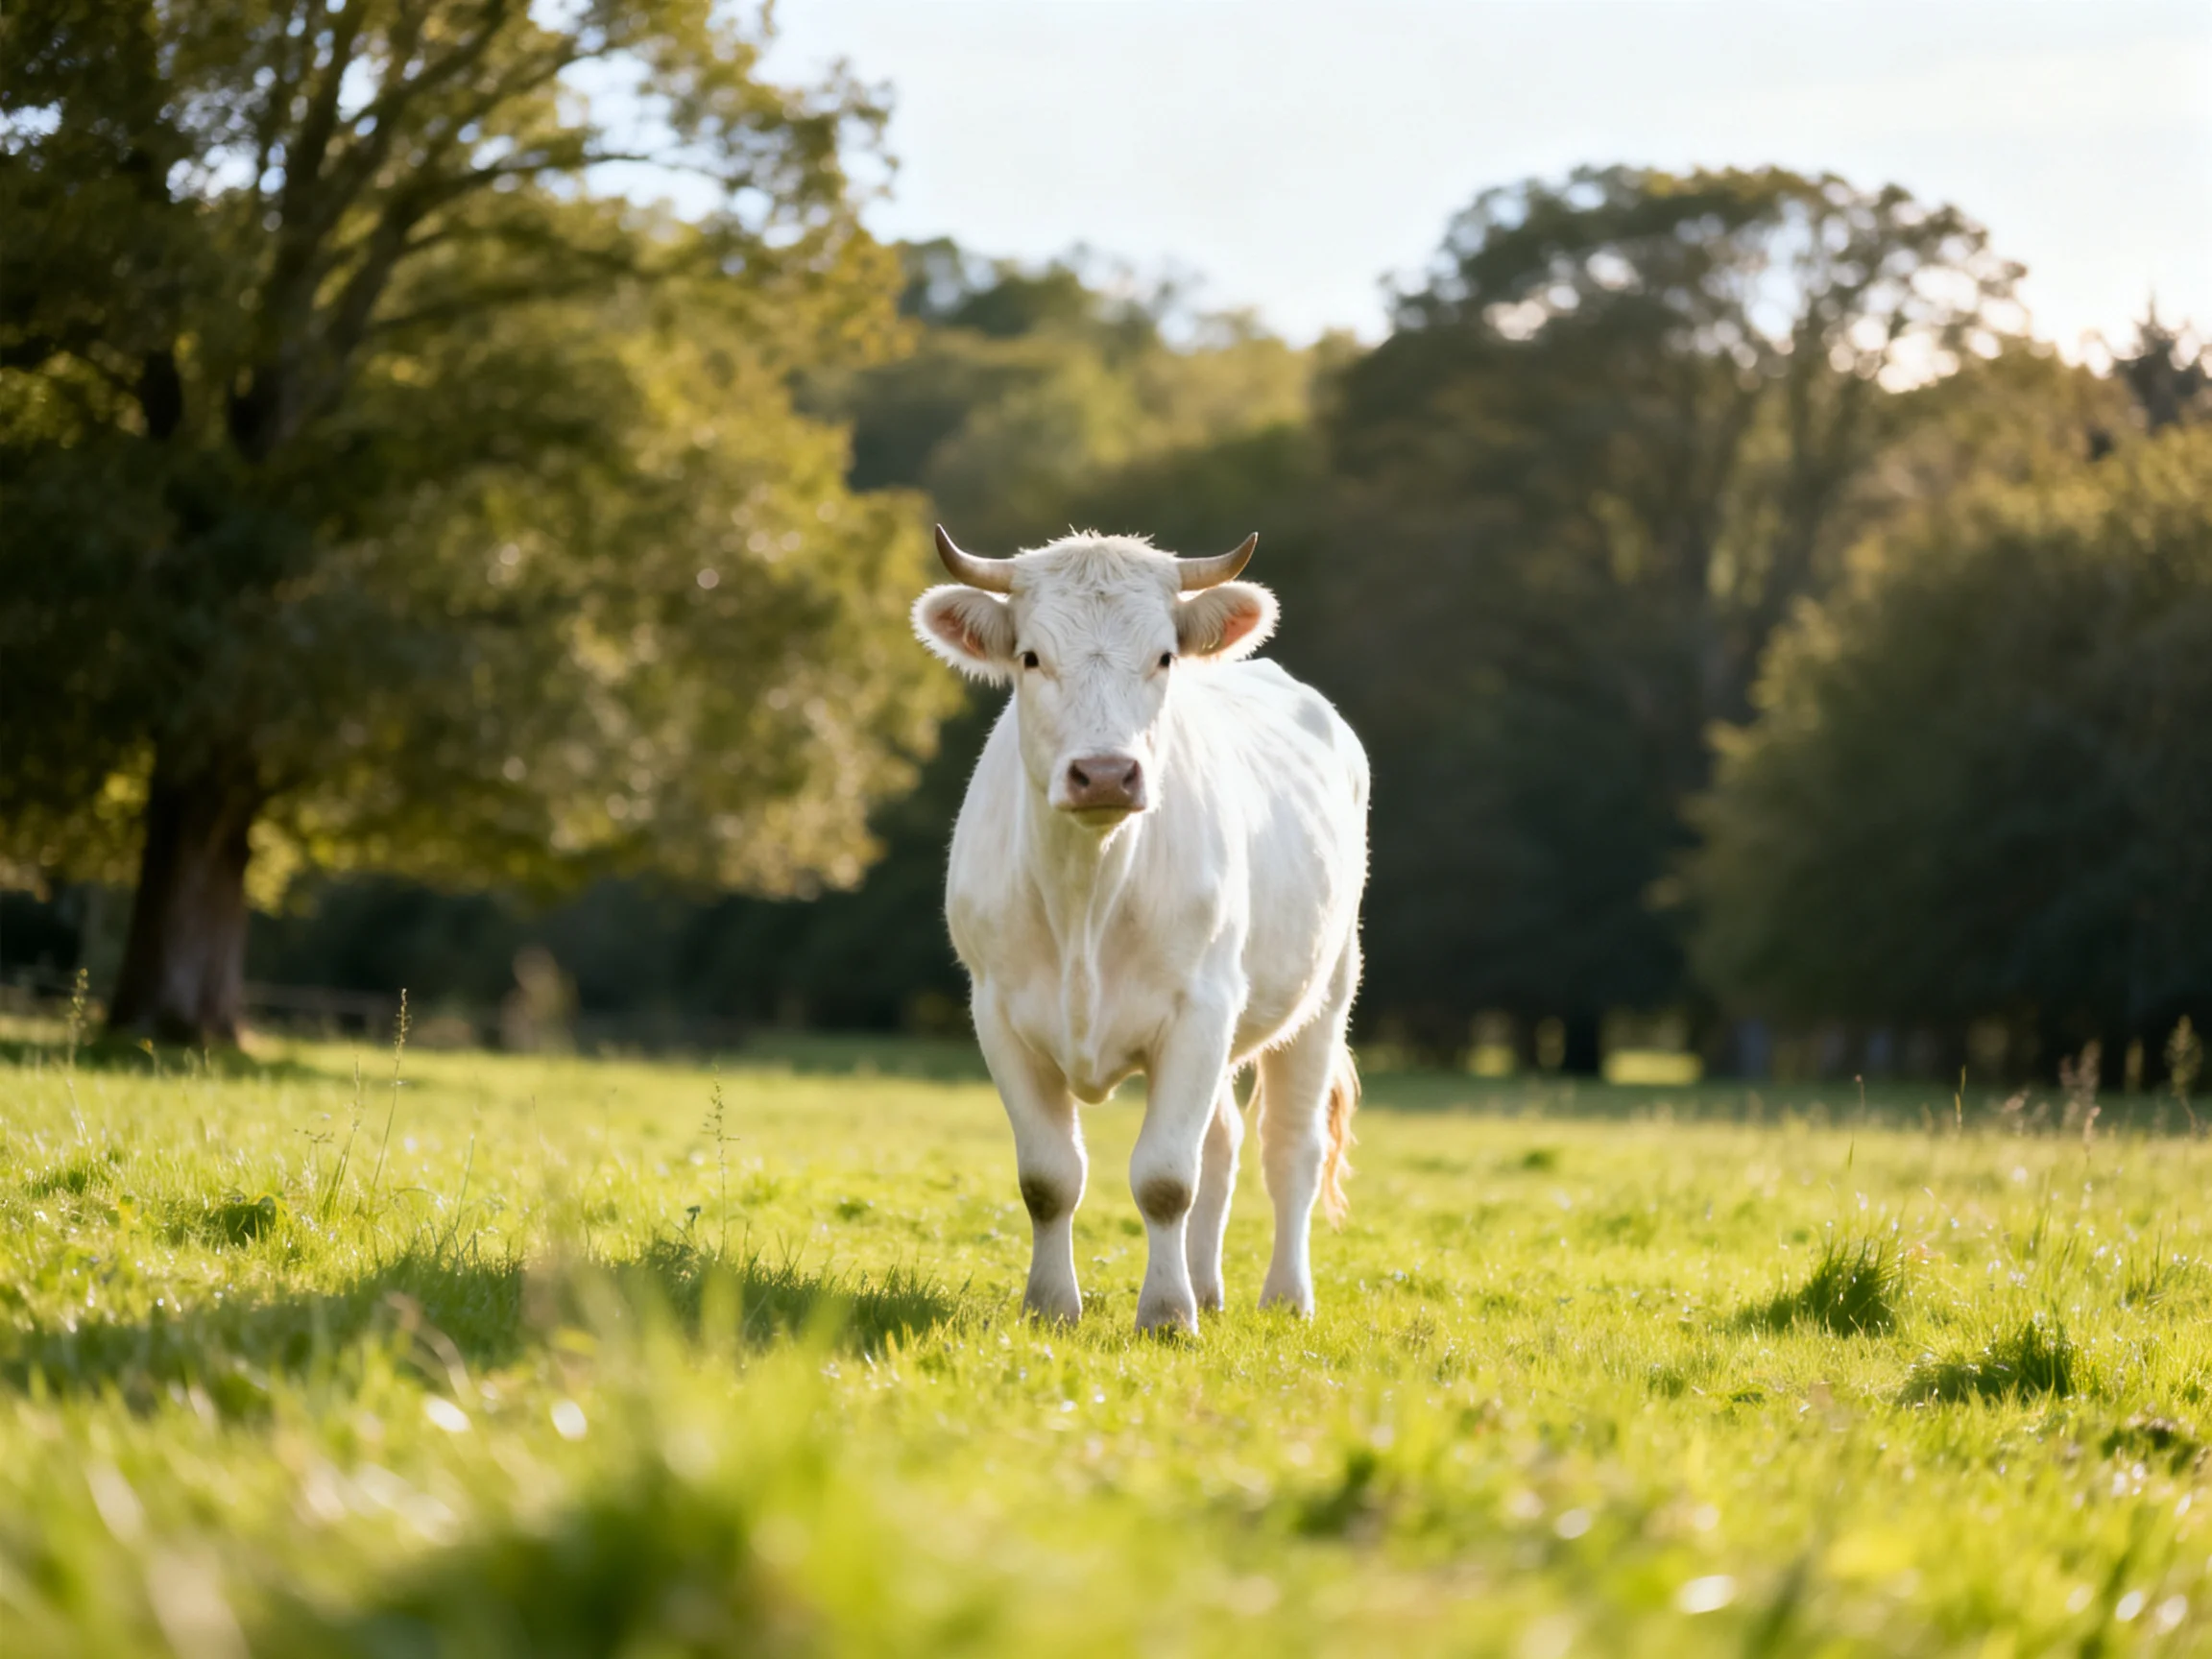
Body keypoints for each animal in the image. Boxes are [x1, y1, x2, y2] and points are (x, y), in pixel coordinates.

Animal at [913, 526, 1369, 1333]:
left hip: (1326, 991)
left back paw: (1284, 1297)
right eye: (1031, 657)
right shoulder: (997, 1012)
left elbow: (1163, 1179)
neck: (1086, 896)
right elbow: (1049, 1178)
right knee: (1222, 1142)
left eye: (1163, 657)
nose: (1103, 773)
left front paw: (1166, 1316)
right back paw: (1209, 1287)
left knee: (1290, 1149)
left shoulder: (1200, 1008)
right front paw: (1051, 1307)